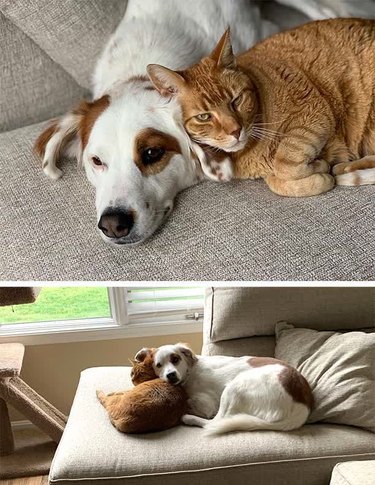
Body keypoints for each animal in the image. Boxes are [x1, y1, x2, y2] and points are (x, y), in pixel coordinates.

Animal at [136, 344, 314, 434]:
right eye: (158, 365)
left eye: (175, 359)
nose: (171, 375)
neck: (190, 371)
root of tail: (302, 407)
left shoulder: (206, 404)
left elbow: (190, 403)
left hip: (234, 387)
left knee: (215, 422)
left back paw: (189, 419)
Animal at [148, 18, 375, 197]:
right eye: (204, 117)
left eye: (236, 100)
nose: (235, 131)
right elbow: (276, 180)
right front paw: (320, 169)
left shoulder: (313, 114)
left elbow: (283, 165)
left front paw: (320, 168)